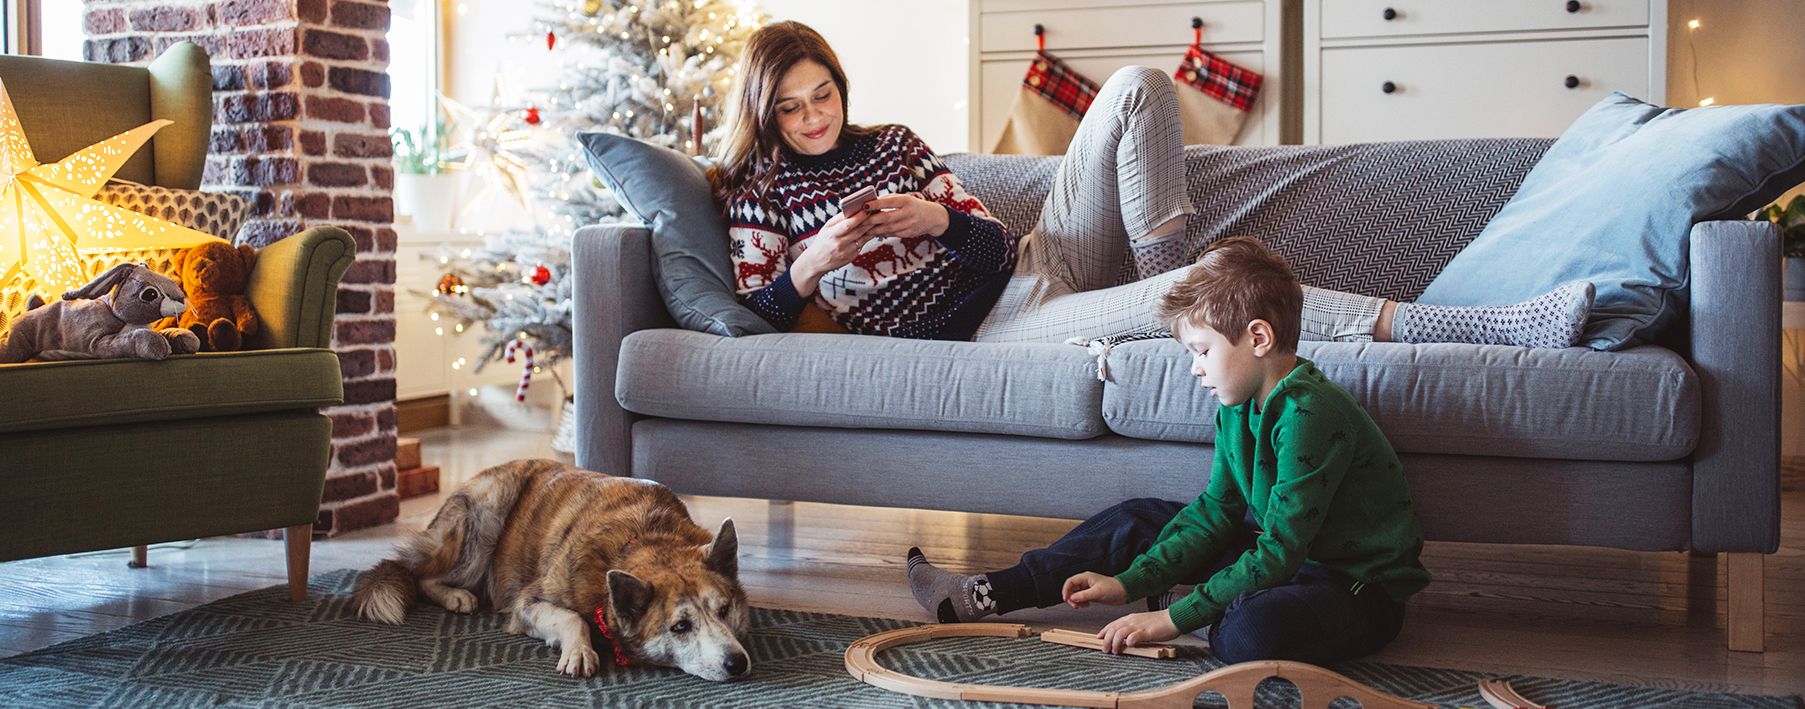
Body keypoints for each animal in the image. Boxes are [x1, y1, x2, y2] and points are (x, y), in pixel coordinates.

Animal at [348, 458, 750, 678]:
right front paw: (580, 651)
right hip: (485, 516)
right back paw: (456, 596)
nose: (738, 663)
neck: (642, 540)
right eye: (680, 627)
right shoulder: (527, 604)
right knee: (422, 574)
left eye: (724, 610)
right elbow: (571, 618)